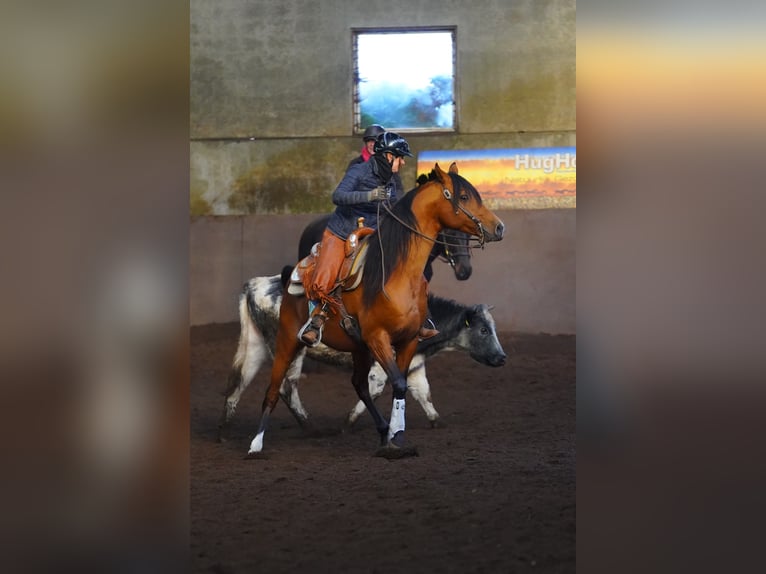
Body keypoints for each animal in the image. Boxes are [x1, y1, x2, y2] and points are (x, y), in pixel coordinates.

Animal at [249, 163, 508, 460]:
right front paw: (393, 439)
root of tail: (291, 273)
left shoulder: (408, 341)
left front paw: (396, 437)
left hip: (356, 348)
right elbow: (396, 383)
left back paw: (381, 429)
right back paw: (256, 444)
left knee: (357, 384)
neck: (397, 274)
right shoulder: (378, 338)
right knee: (275, 387)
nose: (499, 227)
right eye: (464, 197)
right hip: (287, 340)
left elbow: (403, 387)